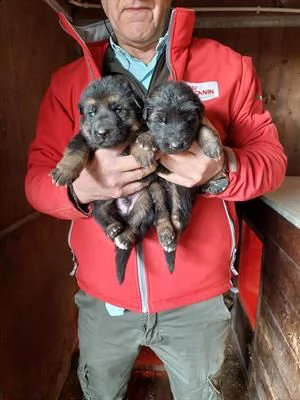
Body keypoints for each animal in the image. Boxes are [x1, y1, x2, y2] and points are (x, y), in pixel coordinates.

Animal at [49, 74, 157, 282]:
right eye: (91, 112)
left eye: (118, 109)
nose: (102, 132)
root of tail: (123, 212)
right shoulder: (83, 136)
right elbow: (75, 149)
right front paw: (64, 171)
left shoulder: (140, 127)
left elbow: (139, 134)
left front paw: (142, 151)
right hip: (101, 203)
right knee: (103, 217)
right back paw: (113, 228)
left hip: (145, 201)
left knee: (137, 224)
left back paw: (124, 237)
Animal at [136, 79, 223, 270]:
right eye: (160, 121)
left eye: (189, 119)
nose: (177, 145)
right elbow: (149, 132)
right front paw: (146, 140)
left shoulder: (199, 121)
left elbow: (204, 128)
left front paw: (212, 144)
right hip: (157, 189)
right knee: (162, 214)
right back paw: (166, 236)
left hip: (180, 192)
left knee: (179, 219)